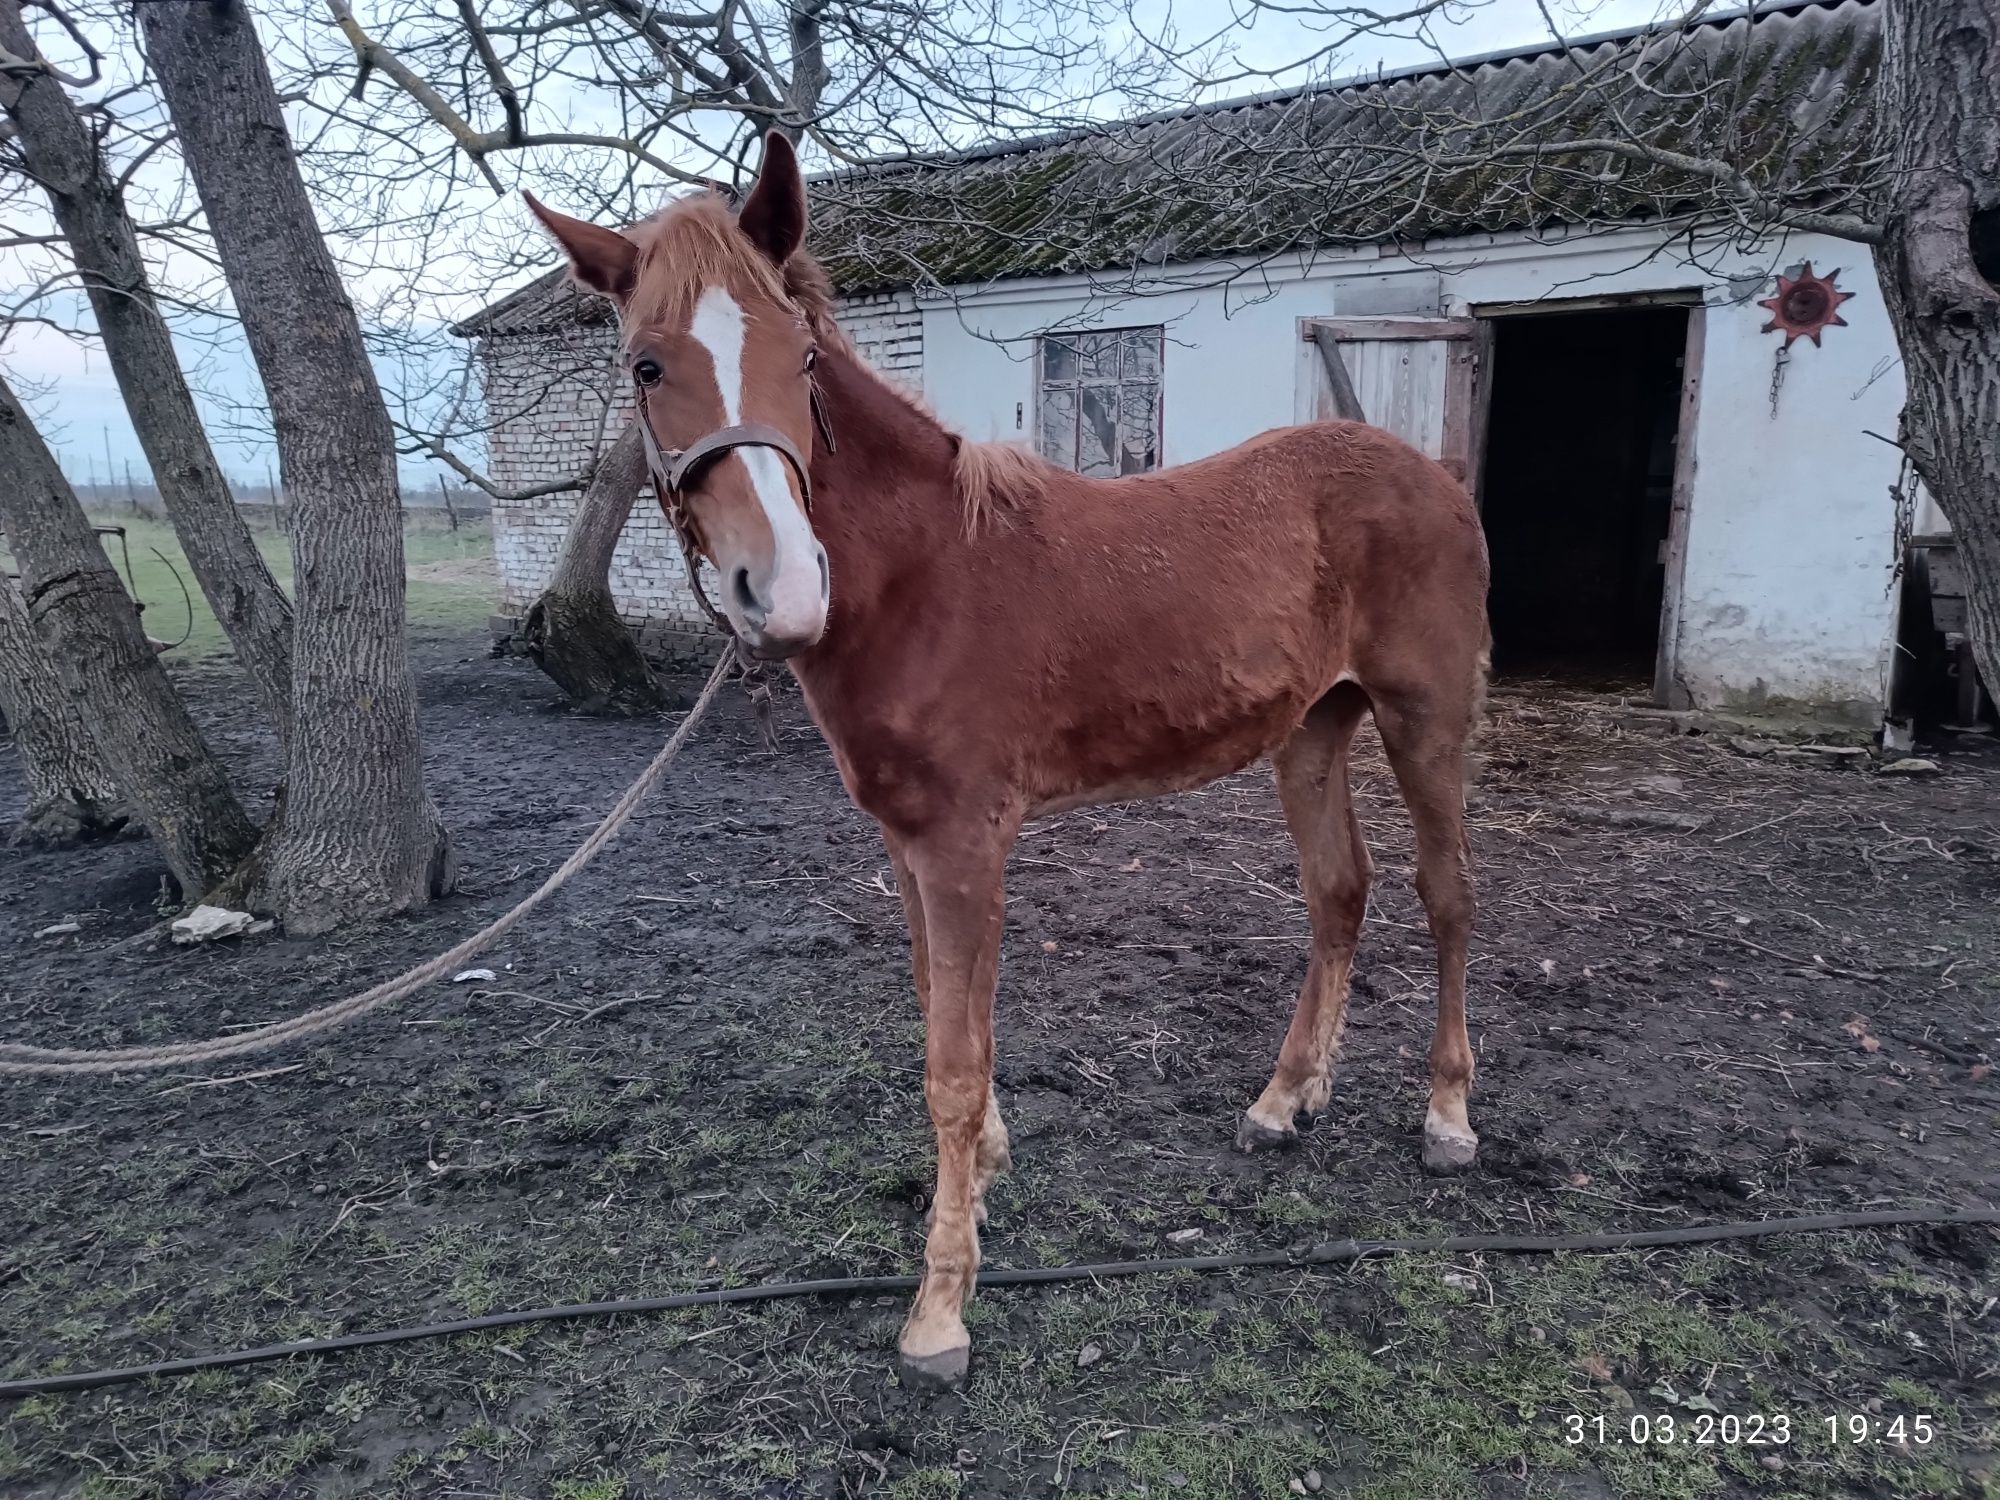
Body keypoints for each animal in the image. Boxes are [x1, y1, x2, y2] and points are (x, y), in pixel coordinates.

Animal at [524, 135, 1496, 1392]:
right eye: (646, 365)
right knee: (1339, 893)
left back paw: (1446, 1118)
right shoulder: (904, 844)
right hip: (1311, 729)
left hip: (1423, 720)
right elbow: (939, 1023)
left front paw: (939, 1307)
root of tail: (1426, 471)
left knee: (1445, 897)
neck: (922, 575)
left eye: (799, 357)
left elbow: (951, 1060)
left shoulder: (963, 845)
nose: (778, 591)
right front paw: (981, 1175)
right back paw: (1284, 1102)